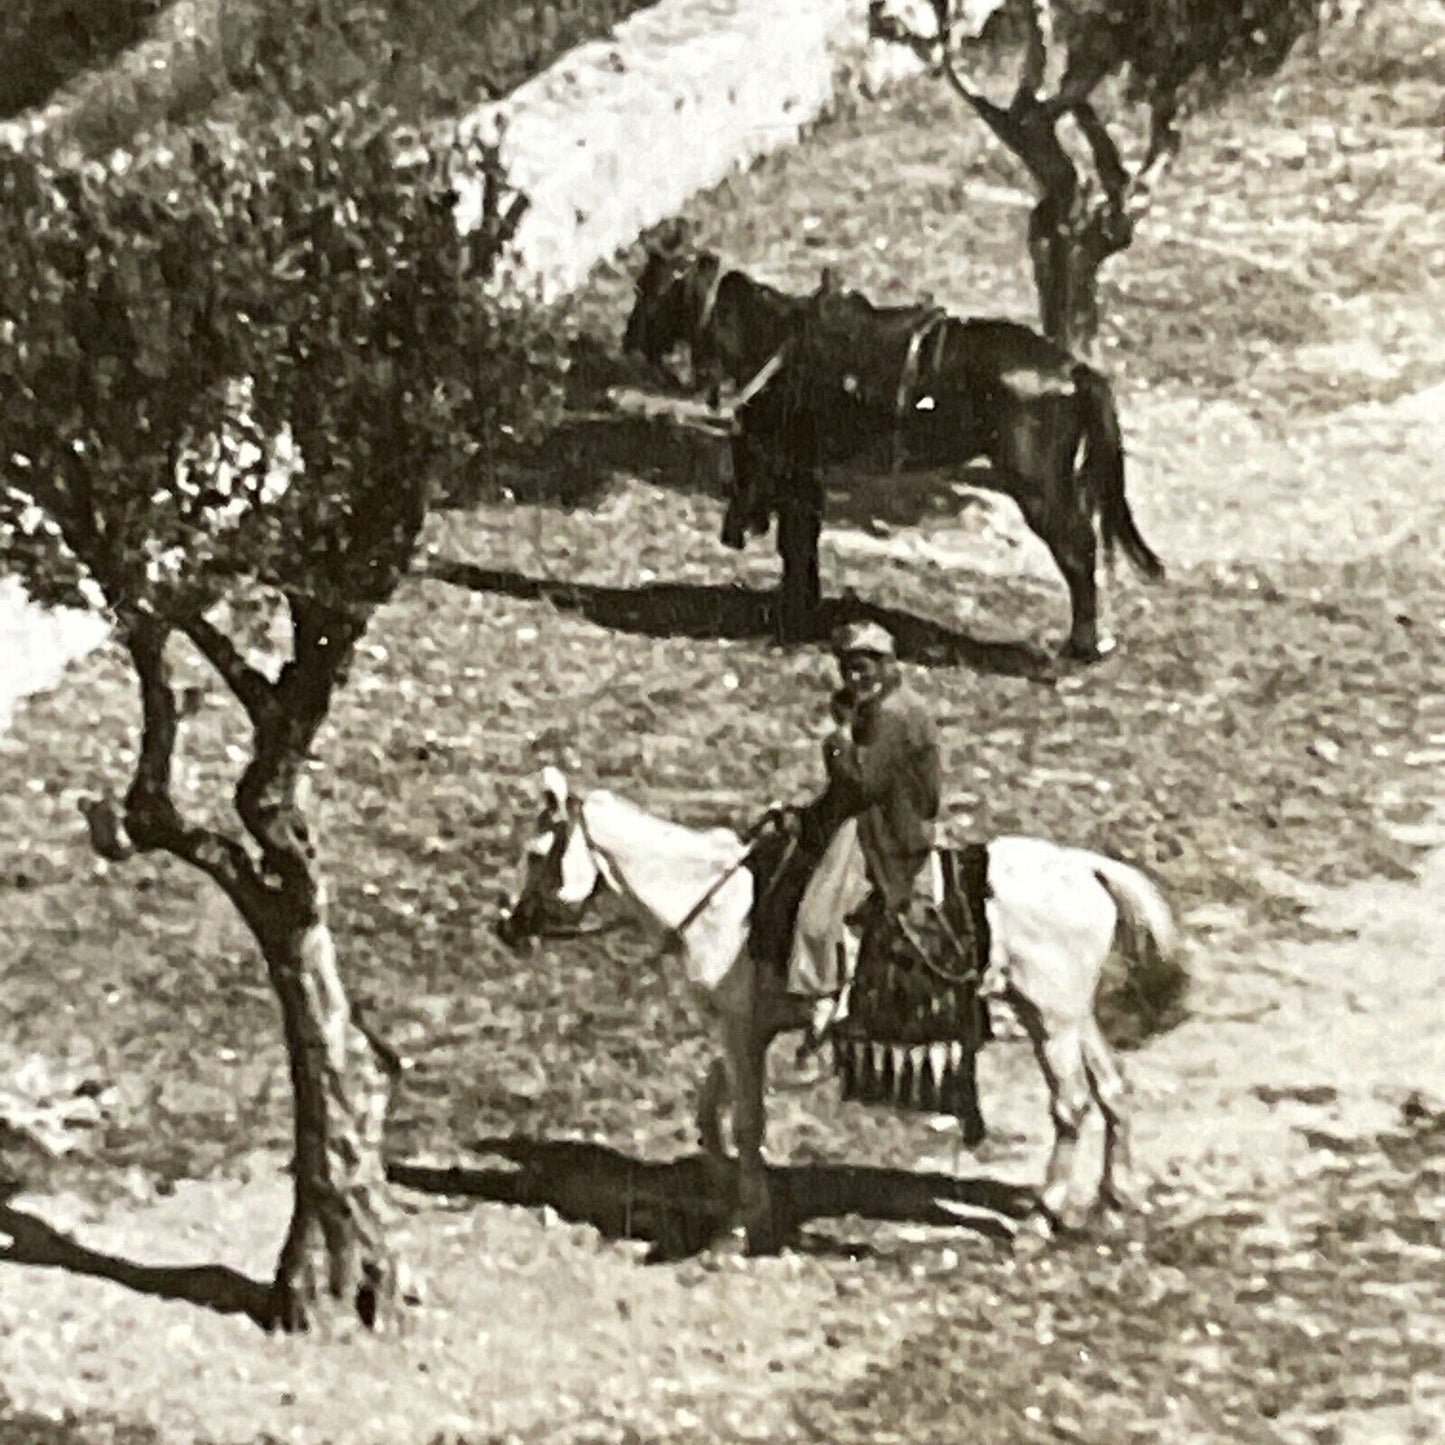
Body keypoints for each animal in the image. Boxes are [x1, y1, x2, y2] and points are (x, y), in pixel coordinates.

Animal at [494, 768, 1173, 1254]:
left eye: (536, 853)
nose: (508, 926)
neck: (722, 902)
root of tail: (1087, 866)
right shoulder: (742, 1026)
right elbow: (713, 1108)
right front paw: (723, 1187)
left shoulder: (740, 1028)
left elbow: (745, 1118)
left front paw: (740, 1225)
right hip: (1069, 1017)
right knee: (1112, 1089)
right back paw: (1115, 1198)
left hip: (1050, 1021)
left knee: (1071, 1105)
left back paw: (1043, 1218)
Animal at [621, 251, 1161, 661]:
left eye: (649, 290)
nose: (630, 342)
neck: (773, 340)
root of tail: (1073, 369)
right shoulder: (805, 475)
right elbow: (802, 545)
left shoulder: (791, 470)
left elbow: (795, 544)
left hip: (1040, 490)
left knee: (1077, 550)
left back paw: (1082, 647)